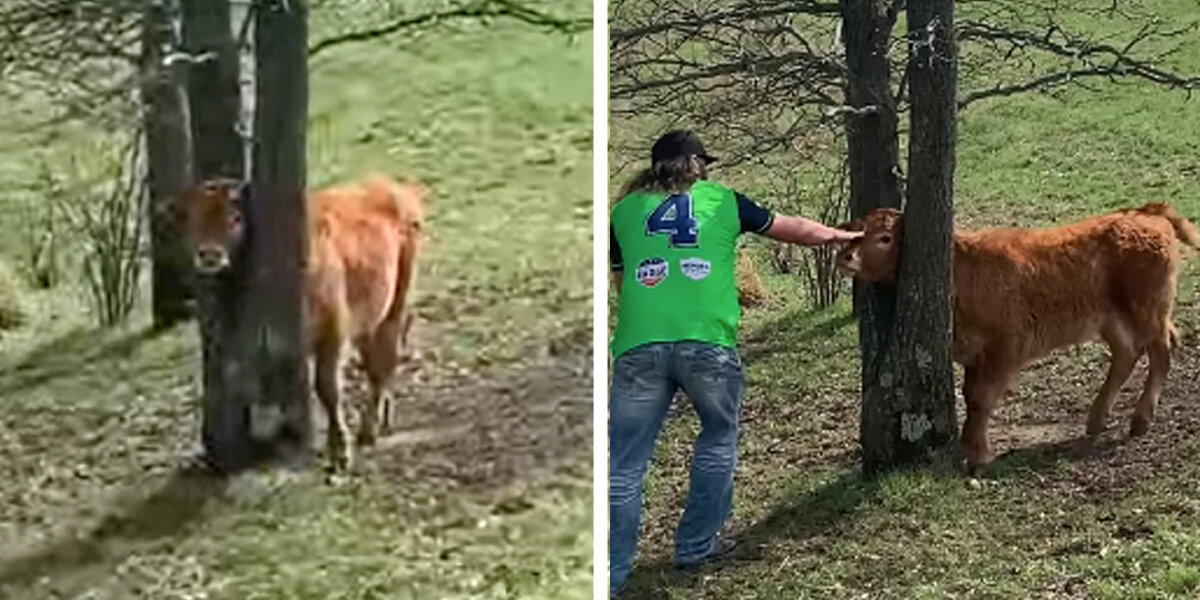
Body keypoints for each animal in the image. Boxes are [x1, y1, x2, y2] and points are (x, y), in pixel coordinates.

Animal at [182, 174, 426, 470]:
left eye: (235, 218)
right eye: (193, 218)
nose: (209, 255)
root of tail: (395, 188)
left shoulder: (333, 332)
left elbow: (327, 388)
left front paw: (339, 450)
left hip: (397, 303)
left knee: (385, 360)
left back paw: (369, 429)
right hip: (371, 319)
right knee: (376, 362)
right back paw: (382, 418)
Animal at [834, 203, 1199, 474]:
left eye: (884, 238)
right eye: (857, 233)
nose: (845, 256)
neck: (964, 270)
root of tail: (1144, 213)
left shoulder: (1004, 347)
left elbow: (981, 397)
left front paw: (977, 454)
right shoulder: (974, 355)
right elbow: (970, 395)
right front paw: (968, 445)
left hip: (1147, 311)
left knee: (1161, 352)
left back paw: (1141, 419)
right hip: (1111, 318)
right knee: (1127, 355)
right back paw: (1097, 418)